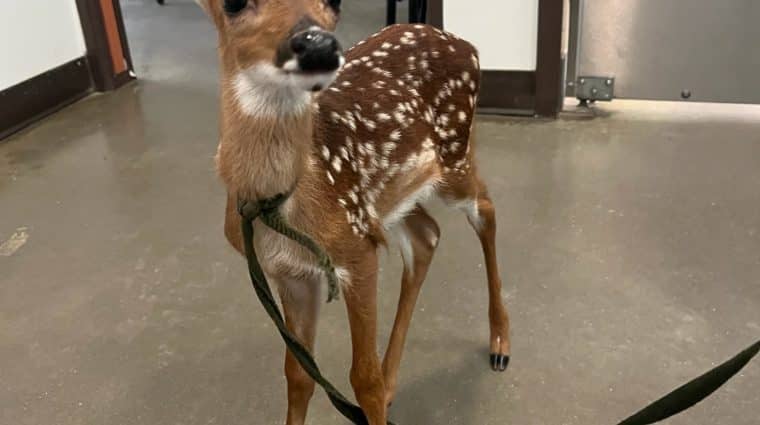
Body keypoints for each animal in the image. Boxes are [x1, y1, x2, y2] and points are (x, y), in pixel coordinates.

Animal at [197, 0, 511, 423]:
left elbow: (364, 379)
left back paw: (500, 343)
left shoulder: (357, 251)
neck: (276, 201)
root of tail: (466, 45)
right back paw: (396, 380)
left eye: (335, 4)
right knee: (427, 235)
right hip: (389, 198)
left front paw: (376, 389)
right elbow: (298, 374)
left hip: (453, 157)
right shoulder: (290, 273)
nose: (318, 45)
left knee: (485, 209)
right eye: (232, 5)